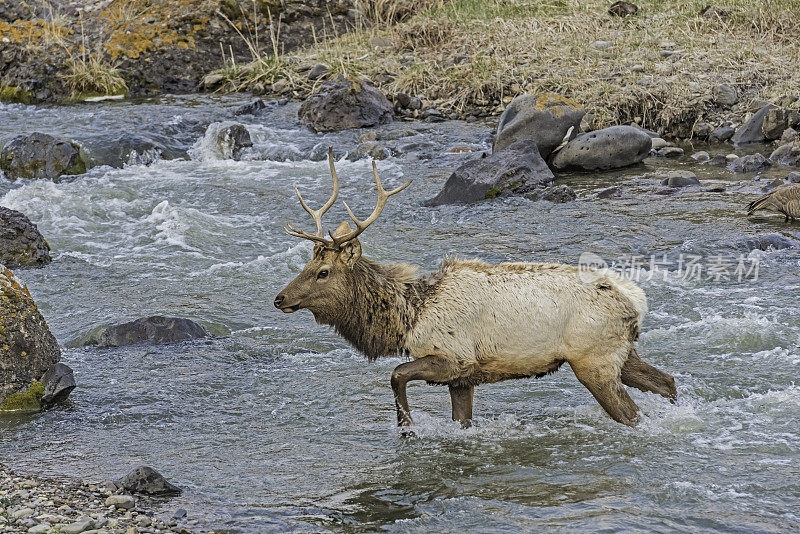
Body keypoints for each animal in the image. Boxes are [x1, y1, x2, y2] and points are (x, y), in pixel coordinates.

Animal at [274, 149, 676, 430]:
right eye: (306, 266)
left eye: (322, 272)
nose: (280, 298)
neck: (408, 315)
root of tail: (636, 299)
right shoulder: (462, 379)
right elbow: (460, 420)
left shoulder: (454, 357)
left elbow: (396, 374)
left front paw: (407, 428)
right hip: (621, 352)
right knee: (667, 382)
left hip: (593, 359)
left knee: (631, 412)